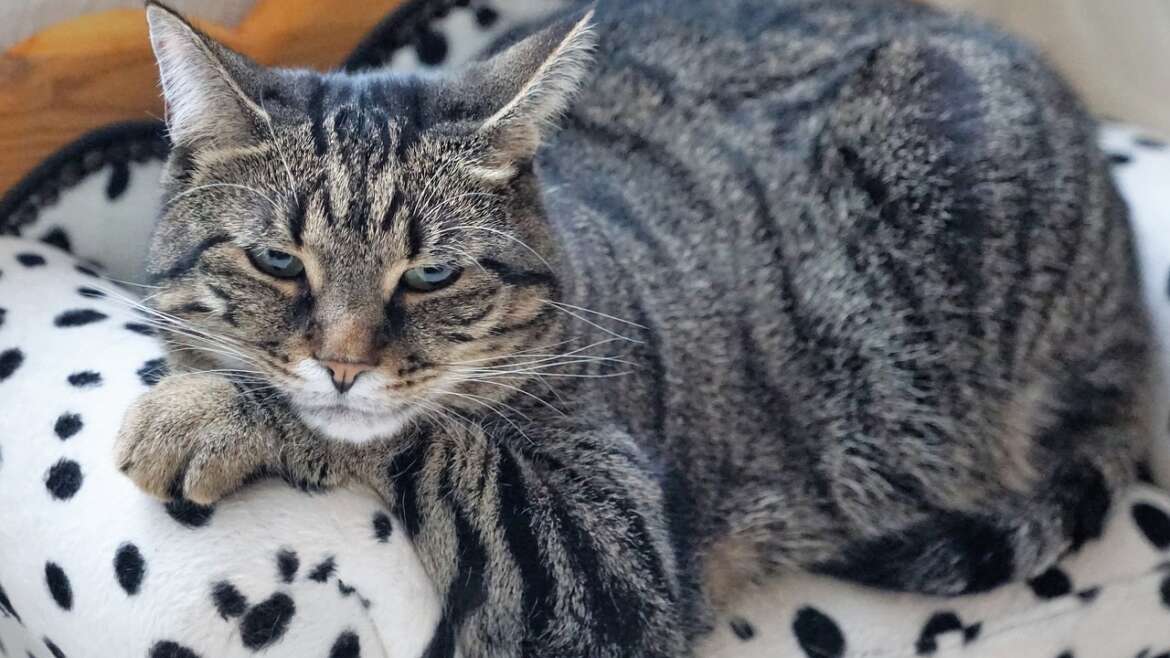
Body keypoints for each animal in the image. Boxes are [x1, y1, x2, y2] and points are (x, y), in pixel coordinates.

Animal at [114, 1, 1155, 650]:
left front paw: (205, 415)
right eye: (279, 262)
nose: (341, 363)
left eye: (433, 274)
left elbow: (435, 436)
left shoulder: (605, 562)